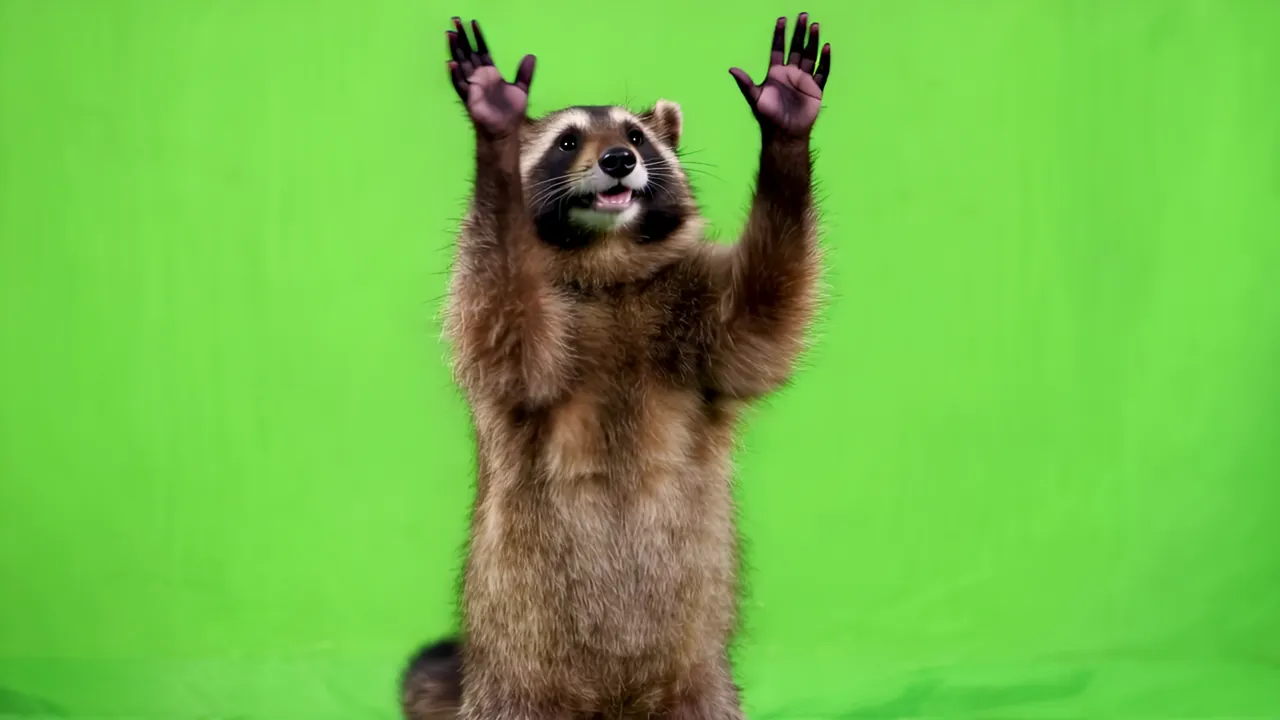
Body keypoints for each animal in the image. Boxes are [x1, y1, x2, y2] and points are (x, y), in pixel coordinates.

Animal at [404, 12, 832, 720]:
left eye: (636, 136)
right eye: (567, 140)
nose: (618, 160)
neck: (608, 258)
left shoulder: (695, 307)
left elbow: (760, 322)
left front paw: (786, 140)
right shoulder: (501, 321)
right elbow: (507, 334)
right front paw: (494, 139)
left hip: (700, 683)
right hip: (515, 676)